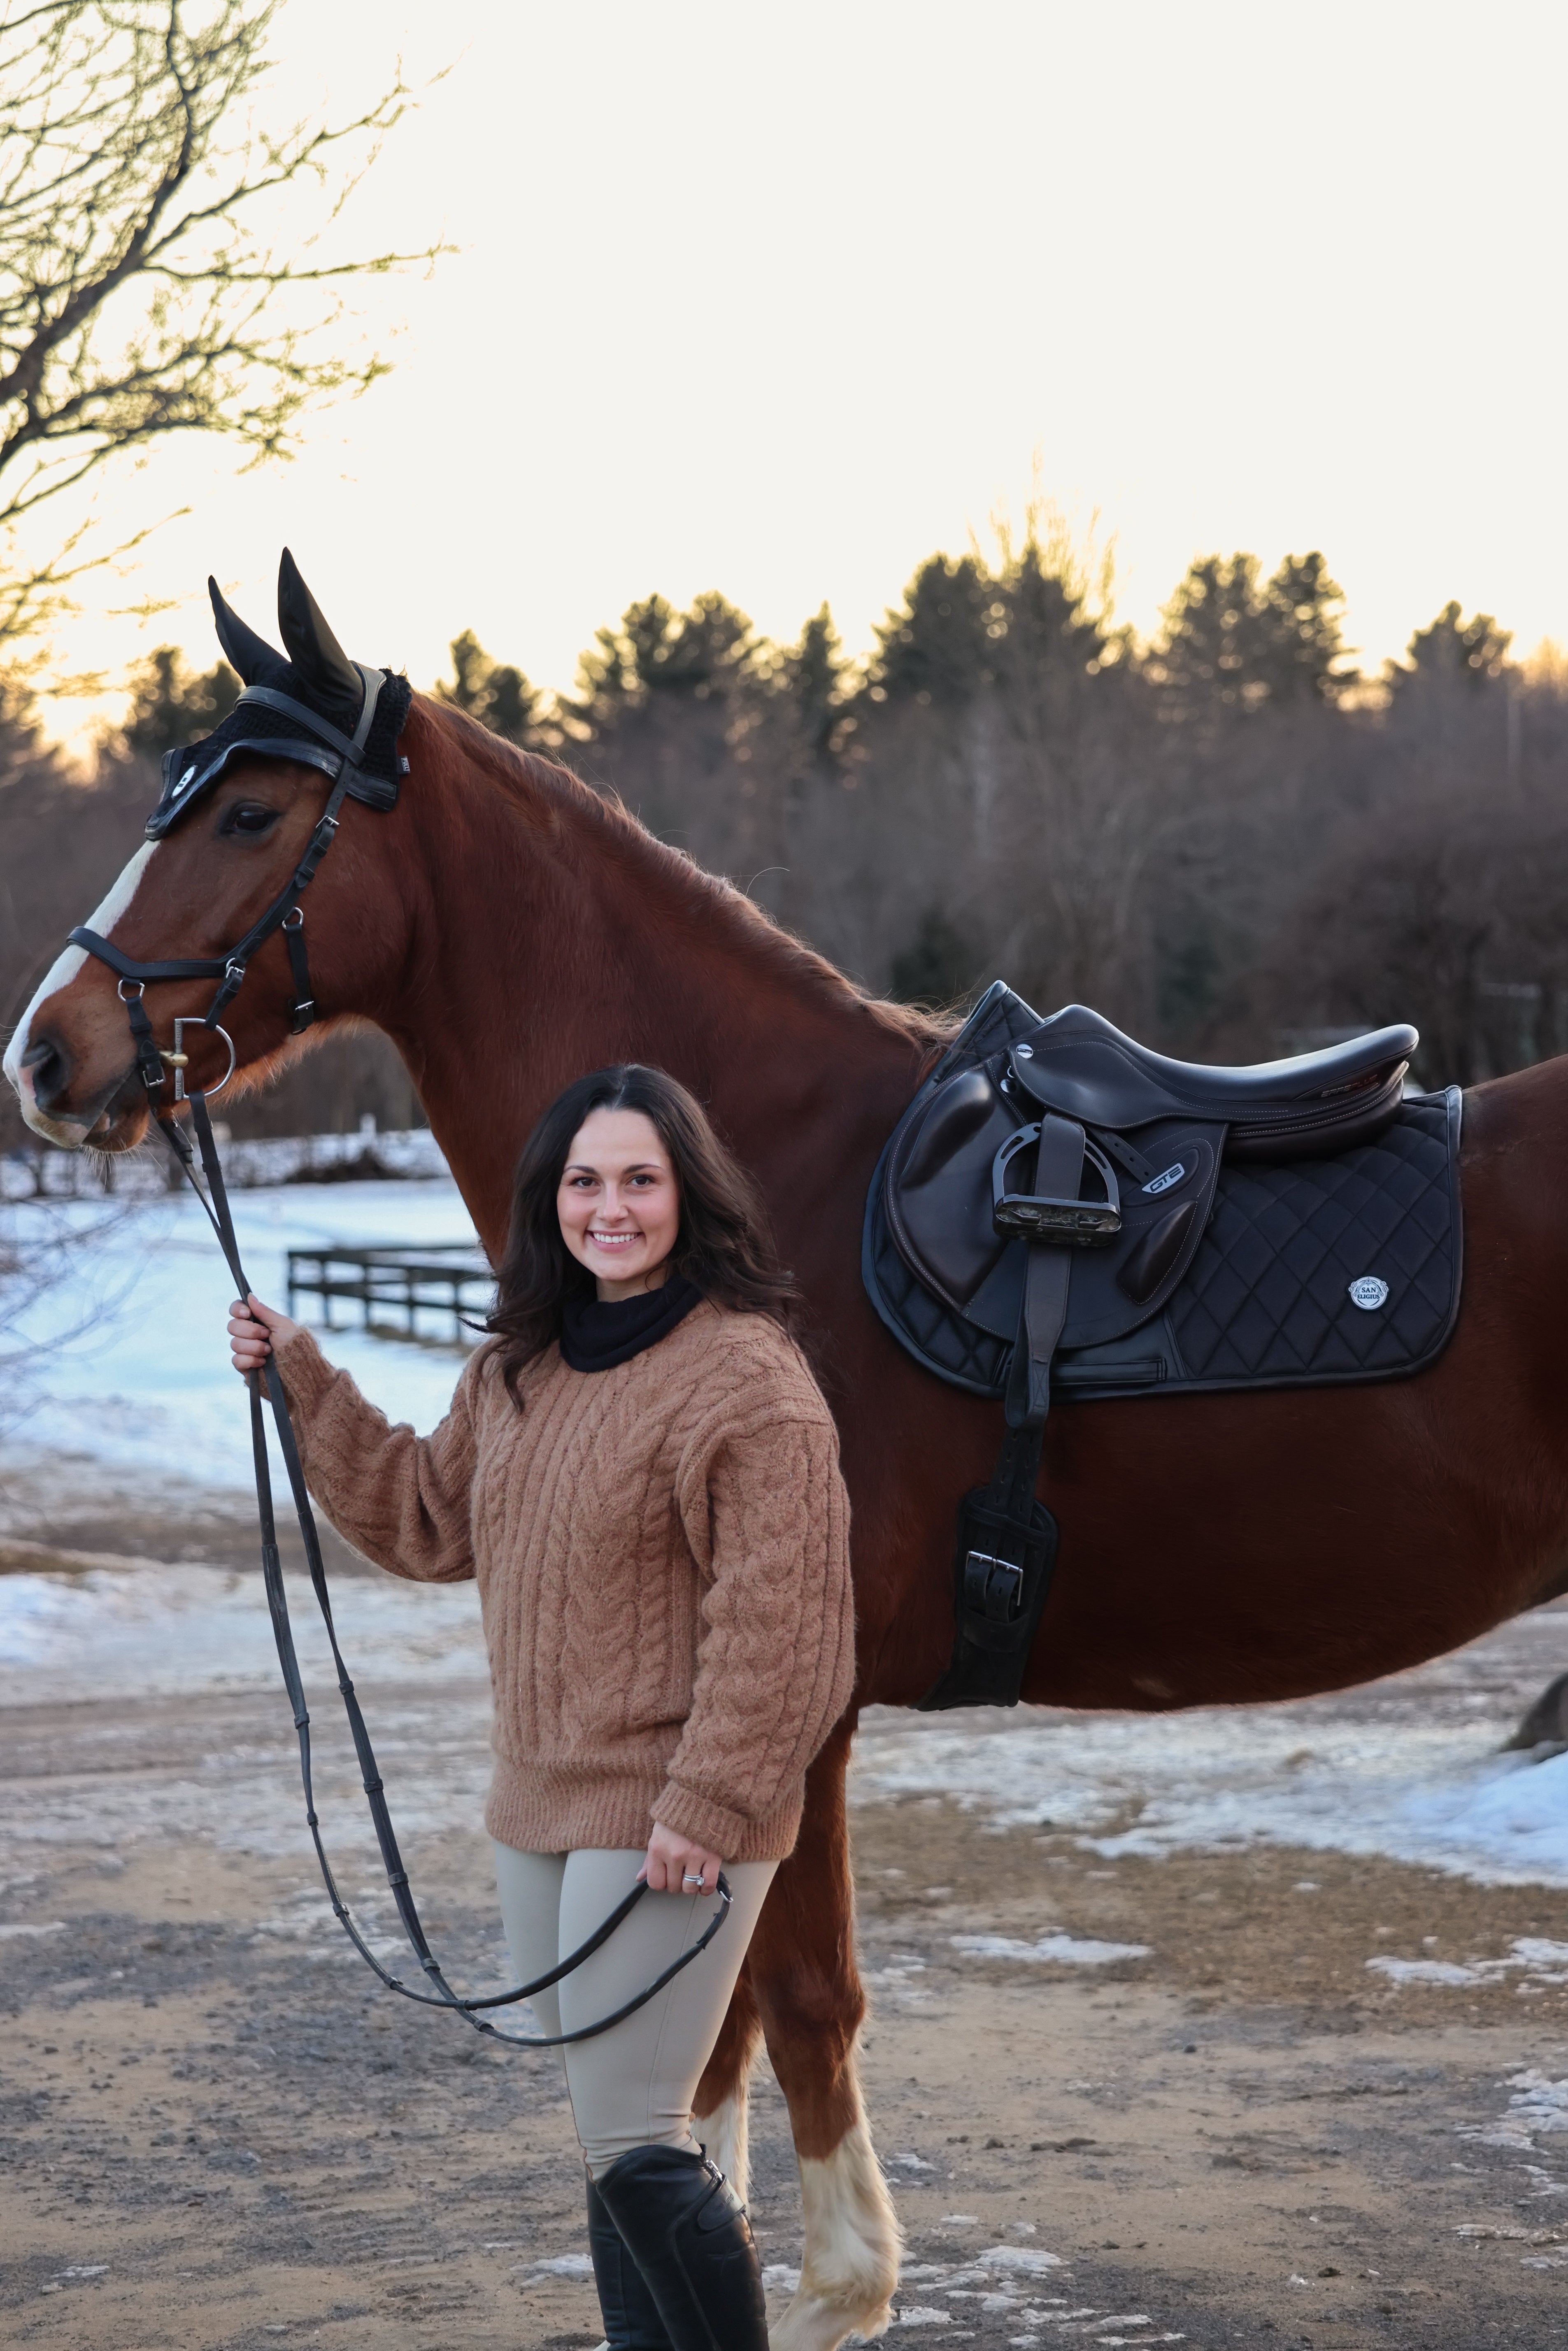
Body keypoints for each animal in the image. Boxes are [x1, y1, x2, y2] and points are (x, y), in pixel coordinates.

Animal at [9, 576, 1568, 2351]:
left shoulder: (790, 1708)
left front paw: (838, 2287)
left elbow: (796, 2001)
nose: (45, 1057)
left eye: (254, 813)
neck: (761, 1194)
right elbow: (716, 2038)